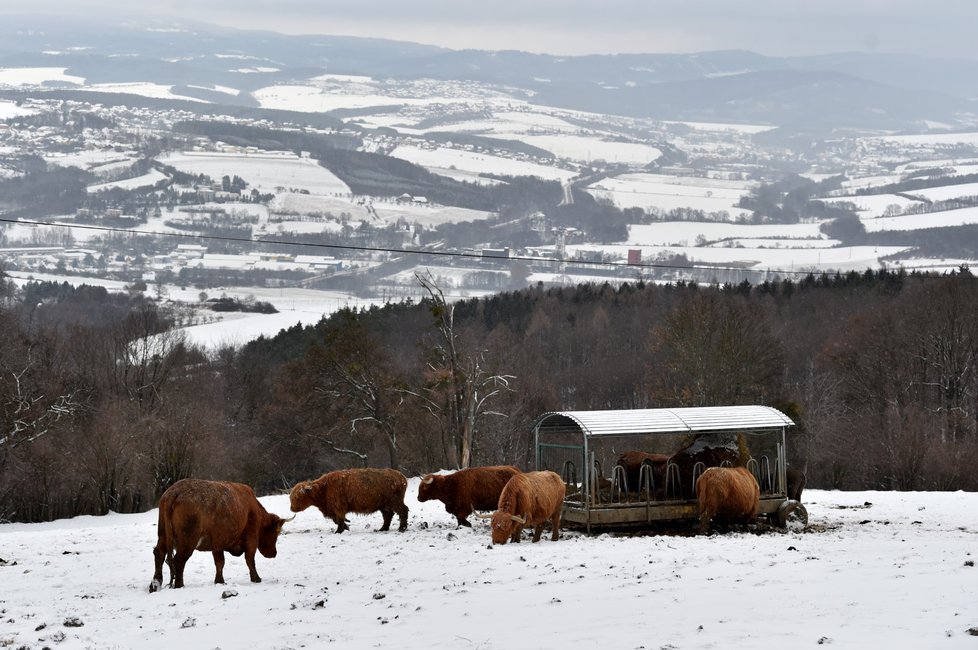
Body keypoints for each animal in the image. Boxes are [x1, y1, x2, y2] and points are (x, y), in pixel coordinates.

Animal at [147, 474, 288, 588]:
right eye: (275, 533)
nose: (274, 553)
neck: (252, 507)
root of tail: (174, 491)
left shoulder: (217, 542)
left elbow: (219, 562)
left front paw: (219, 581)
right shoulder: (251, 538)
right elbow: (249, 560)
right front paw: (256, 579)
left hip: (163, 535)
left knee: (159, 553)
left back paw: (155, 584)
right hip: (187, 541)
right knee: (178, 560)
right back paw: (179, 585)